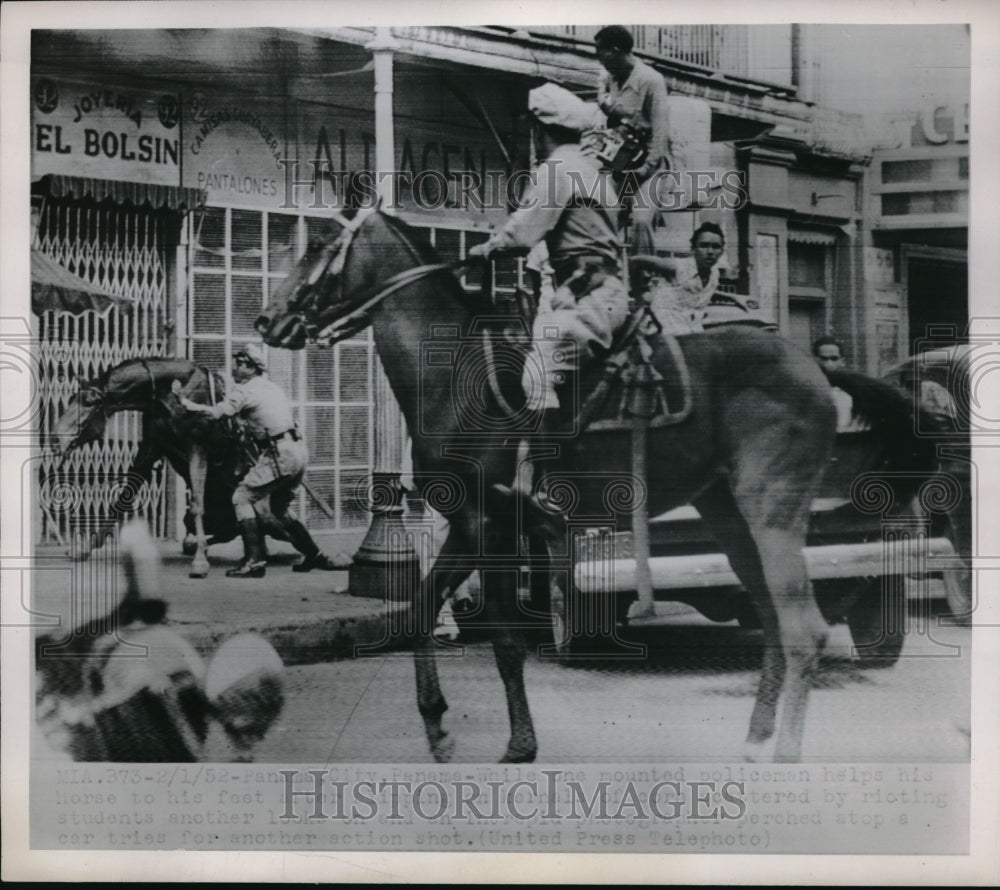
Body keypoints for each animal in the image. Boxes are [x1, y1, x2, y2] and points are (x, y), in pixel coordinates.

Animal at [49, 358, 286, 580]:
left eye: (89, 402)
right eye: (71, 399)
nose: (54, 440)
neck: (168, 396)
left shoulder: (197, 448)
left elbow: (197, 503)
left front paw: (200, 562)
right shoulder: (151, 447)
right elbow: (122, 498)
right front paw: (85, 549)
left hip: (267, 513)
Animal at [254, 205, 932, 760]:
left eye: (320, 246)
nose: (266, 319)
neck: (455, 375)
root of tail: (819, 368)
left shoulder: (490, 525)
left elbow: (488, 633)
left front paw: (500, 740)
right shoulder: (480, 526)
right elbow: (438, 618)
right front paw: (456, 730)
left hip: (771, 516)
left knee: (802, 631)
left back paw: (784, 751)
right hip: (731, 520)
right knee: (771, 620)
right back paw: (755, 740)